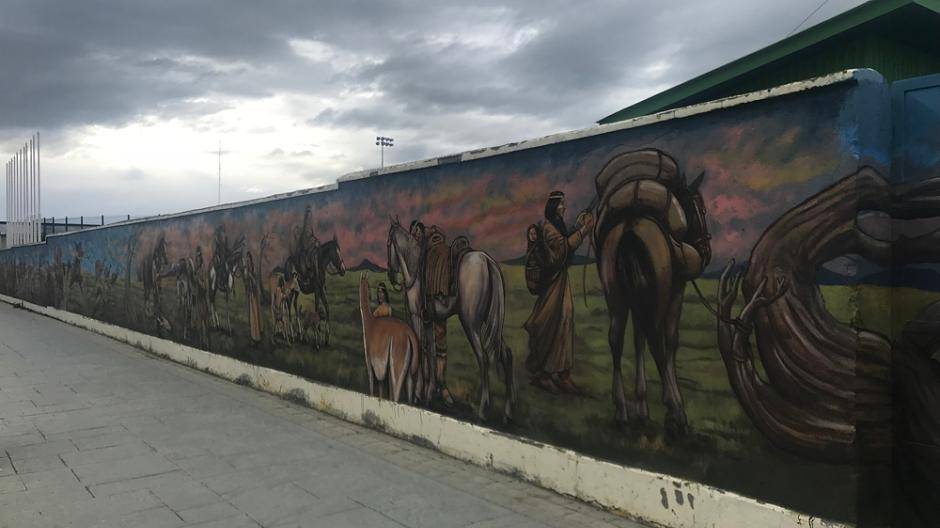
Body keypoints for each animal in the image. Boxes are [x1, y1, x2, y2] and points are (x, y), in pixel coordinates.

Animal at [386, 218, 515, 421]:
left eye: (388, 243)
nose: (391, 275)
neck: (415, 265)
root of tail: (487, 261)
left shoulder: (416, 317)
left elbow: (420, 350)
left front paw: (417, 394)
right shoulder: (429, 320)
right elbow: (430, 353)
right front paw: (428, 393)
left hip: (471, 323)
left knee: (483, 357)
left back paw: (483, 409)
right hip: (491, 324)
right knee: (507, 355)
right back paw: (508, 412)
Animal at [593, 150, 711, 438]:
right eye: (701, 209)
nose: (705, 249)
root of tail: (630, 223)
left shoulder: (638, 297)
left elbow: (638, 339)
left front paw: (641, 407)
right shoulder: (676, 288)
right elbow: (670, 340)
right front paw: (668, 406)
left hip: (615, 292)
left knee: (616, 338)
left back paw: (621, 411)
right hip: (658, 291)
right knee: (656, 337)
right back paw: (676, 413)